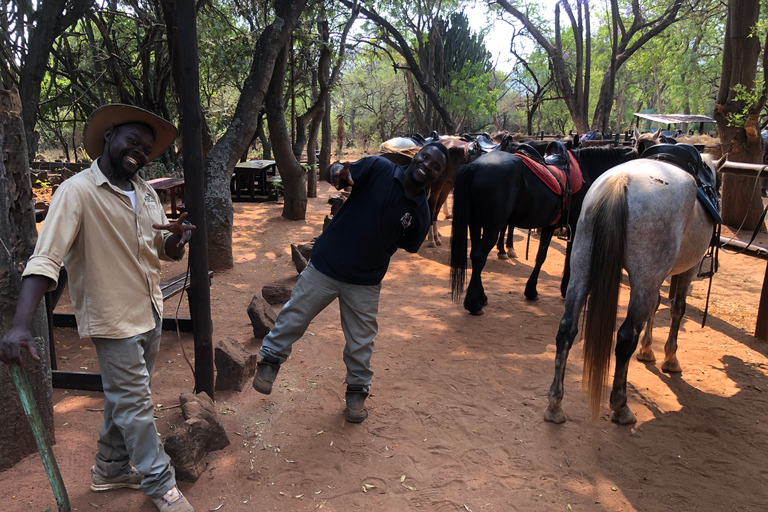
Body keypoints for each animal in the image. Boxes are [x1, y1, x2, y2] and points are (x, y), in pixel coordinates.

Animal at [448, 144, 640, 314]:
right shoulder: (575, 224)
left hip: (475, 223)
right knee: (479, 256)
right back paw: (473, 304)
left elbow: (541, 256)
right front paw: (563, 288)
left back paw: (481, 297)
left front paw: (531, 290)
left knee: (475, 254)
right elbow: (568, 256)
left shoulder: (549, 226)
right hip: (492, 227)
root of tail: (474, 166)